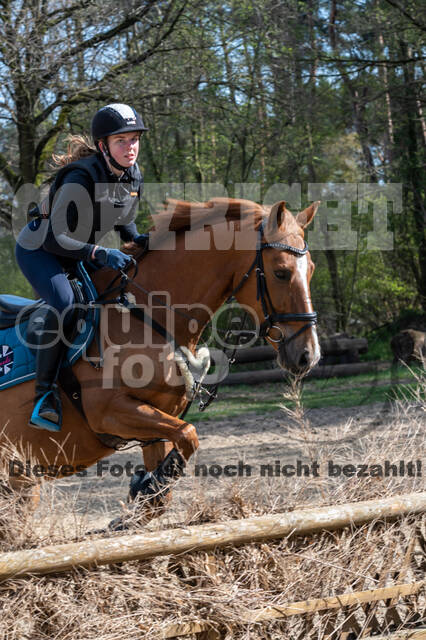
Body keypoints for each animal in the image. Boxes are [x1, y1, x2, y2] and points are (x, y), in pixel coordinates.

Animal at [0, 199, 320, 520]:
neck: (144, 313)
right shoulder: (108, 411)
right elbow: (189, 434)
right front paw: (144, 486)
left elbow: (162, 493)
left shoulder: (156, 424)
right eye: (281, 272)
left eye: (311, 271)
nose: (309, 355)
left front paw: (145, 488)